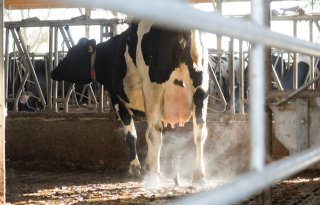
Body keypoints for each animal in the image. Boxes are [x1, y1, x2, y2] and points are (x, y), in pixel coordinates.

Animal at [51, 20, 209, 183]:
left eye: (70, 55)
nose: (53, 72)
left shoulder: (118, 101)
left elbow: (131, 135)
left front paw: (135, 168)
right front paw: (145, 164)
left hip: (153, 90)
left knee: (155, 132)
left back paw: (155, 173)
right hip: (201, 89)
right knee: (199, 132)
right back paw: (198, 174)